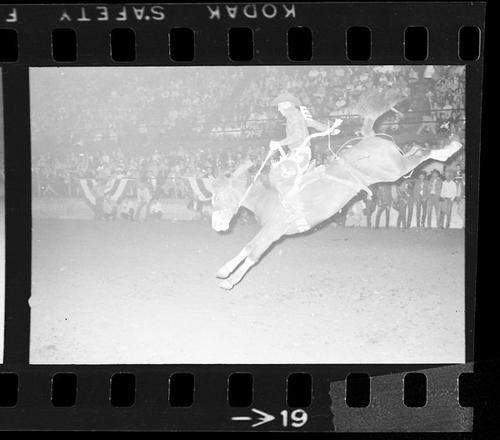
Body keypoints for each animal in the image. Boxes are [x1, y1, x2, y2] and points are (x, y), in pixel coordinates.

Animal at [210, 129, 460, 290]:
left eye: (218, 196)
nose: (217, 225)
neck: (269, 196)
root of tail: (378, 140)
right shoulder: (269, 231)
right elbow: (247, 248)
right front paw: (223, 270)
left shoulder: (273, 231)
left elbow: (253, 252)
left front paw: (229, 280)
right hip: (394, 168)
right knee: (416, 150)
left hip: (394, 170)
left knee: (419, 154)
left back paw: (450, 149)